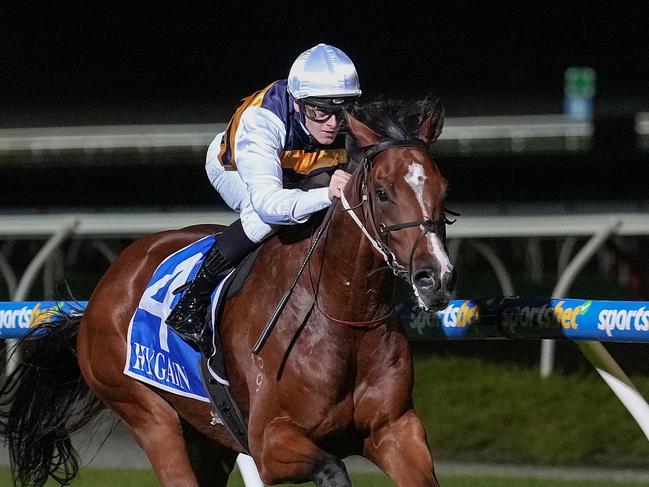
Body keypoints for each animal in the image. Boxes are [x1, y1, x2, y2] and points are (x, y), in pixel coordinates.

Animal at [0, 97, 456, 486]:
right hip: (147, 414)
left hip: (206, 439)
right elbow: (332, 469)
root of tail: (100, 294)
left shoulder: (396, 428)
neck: (342, 315)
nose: (435, 277)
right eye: (382, 192)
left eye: (443, 188)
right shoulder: (268, 442)